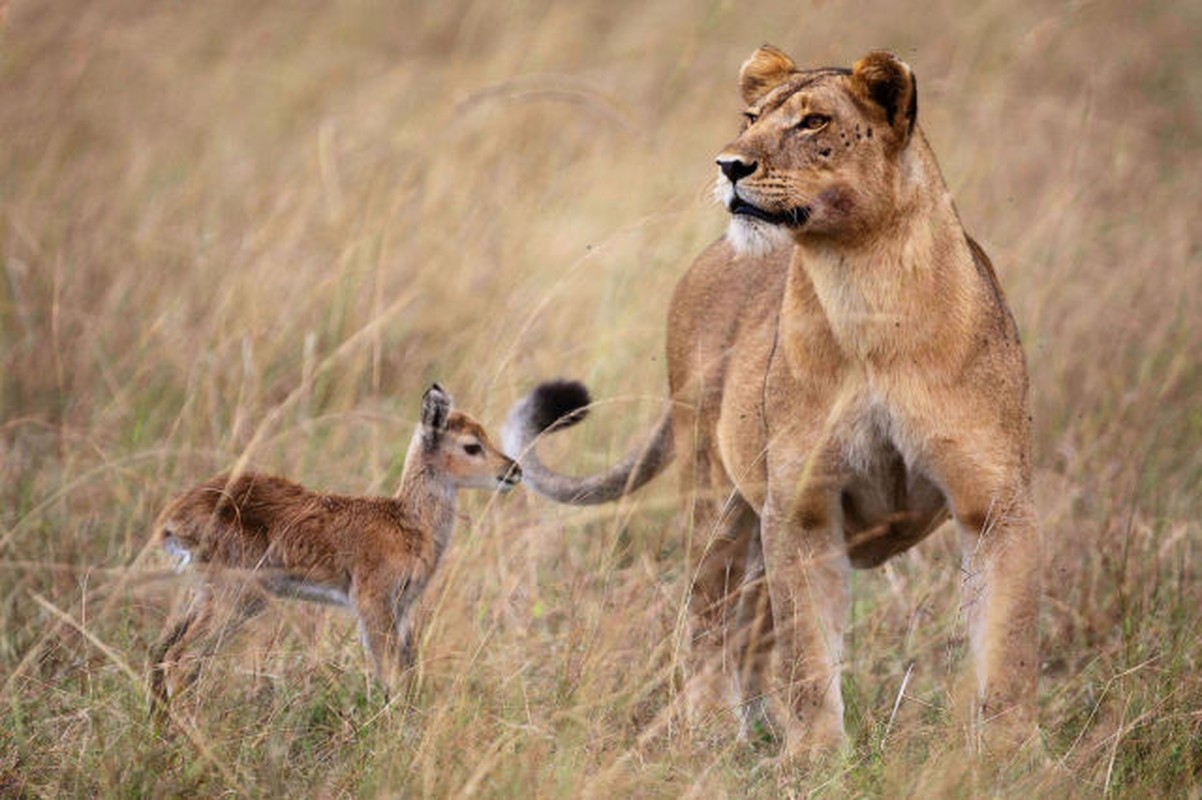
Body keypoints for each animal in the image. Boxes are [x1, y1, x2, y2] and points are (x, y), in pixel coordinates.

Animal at [147, 384, 519, 711]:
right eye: (472, 445)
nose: (513, 470)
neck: (408, 522)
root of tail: (172, 515)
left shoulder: (403, 609)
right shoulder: (372, 603)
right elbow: (389, 675)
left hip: (206, 595)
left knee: (160, 651)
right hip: (236, 596)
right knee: (181, 659)